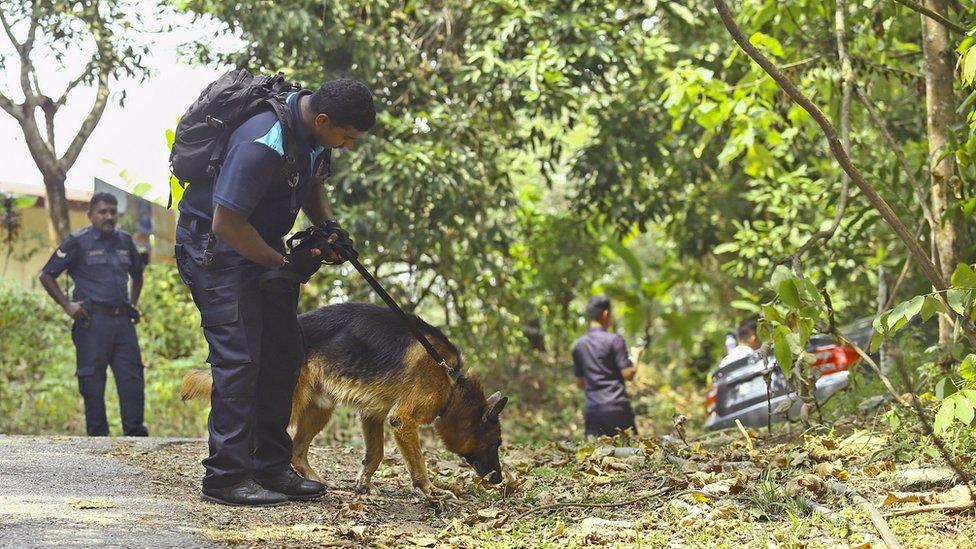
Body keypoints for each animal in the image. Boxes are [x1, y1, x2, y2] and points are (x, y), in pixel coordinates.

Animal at [180, 302, 510, 494]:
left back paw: (313, 482)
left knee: (297, 451)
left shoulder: (373, 414)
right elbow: (417, 464)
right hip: (289, 405)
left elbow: (375, 454)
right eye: (495, 443)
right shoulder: (402, 419)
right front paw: (429, 491)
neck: (452, 381)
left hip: (320, 409)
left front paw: (363, 484)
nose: (499, 480)